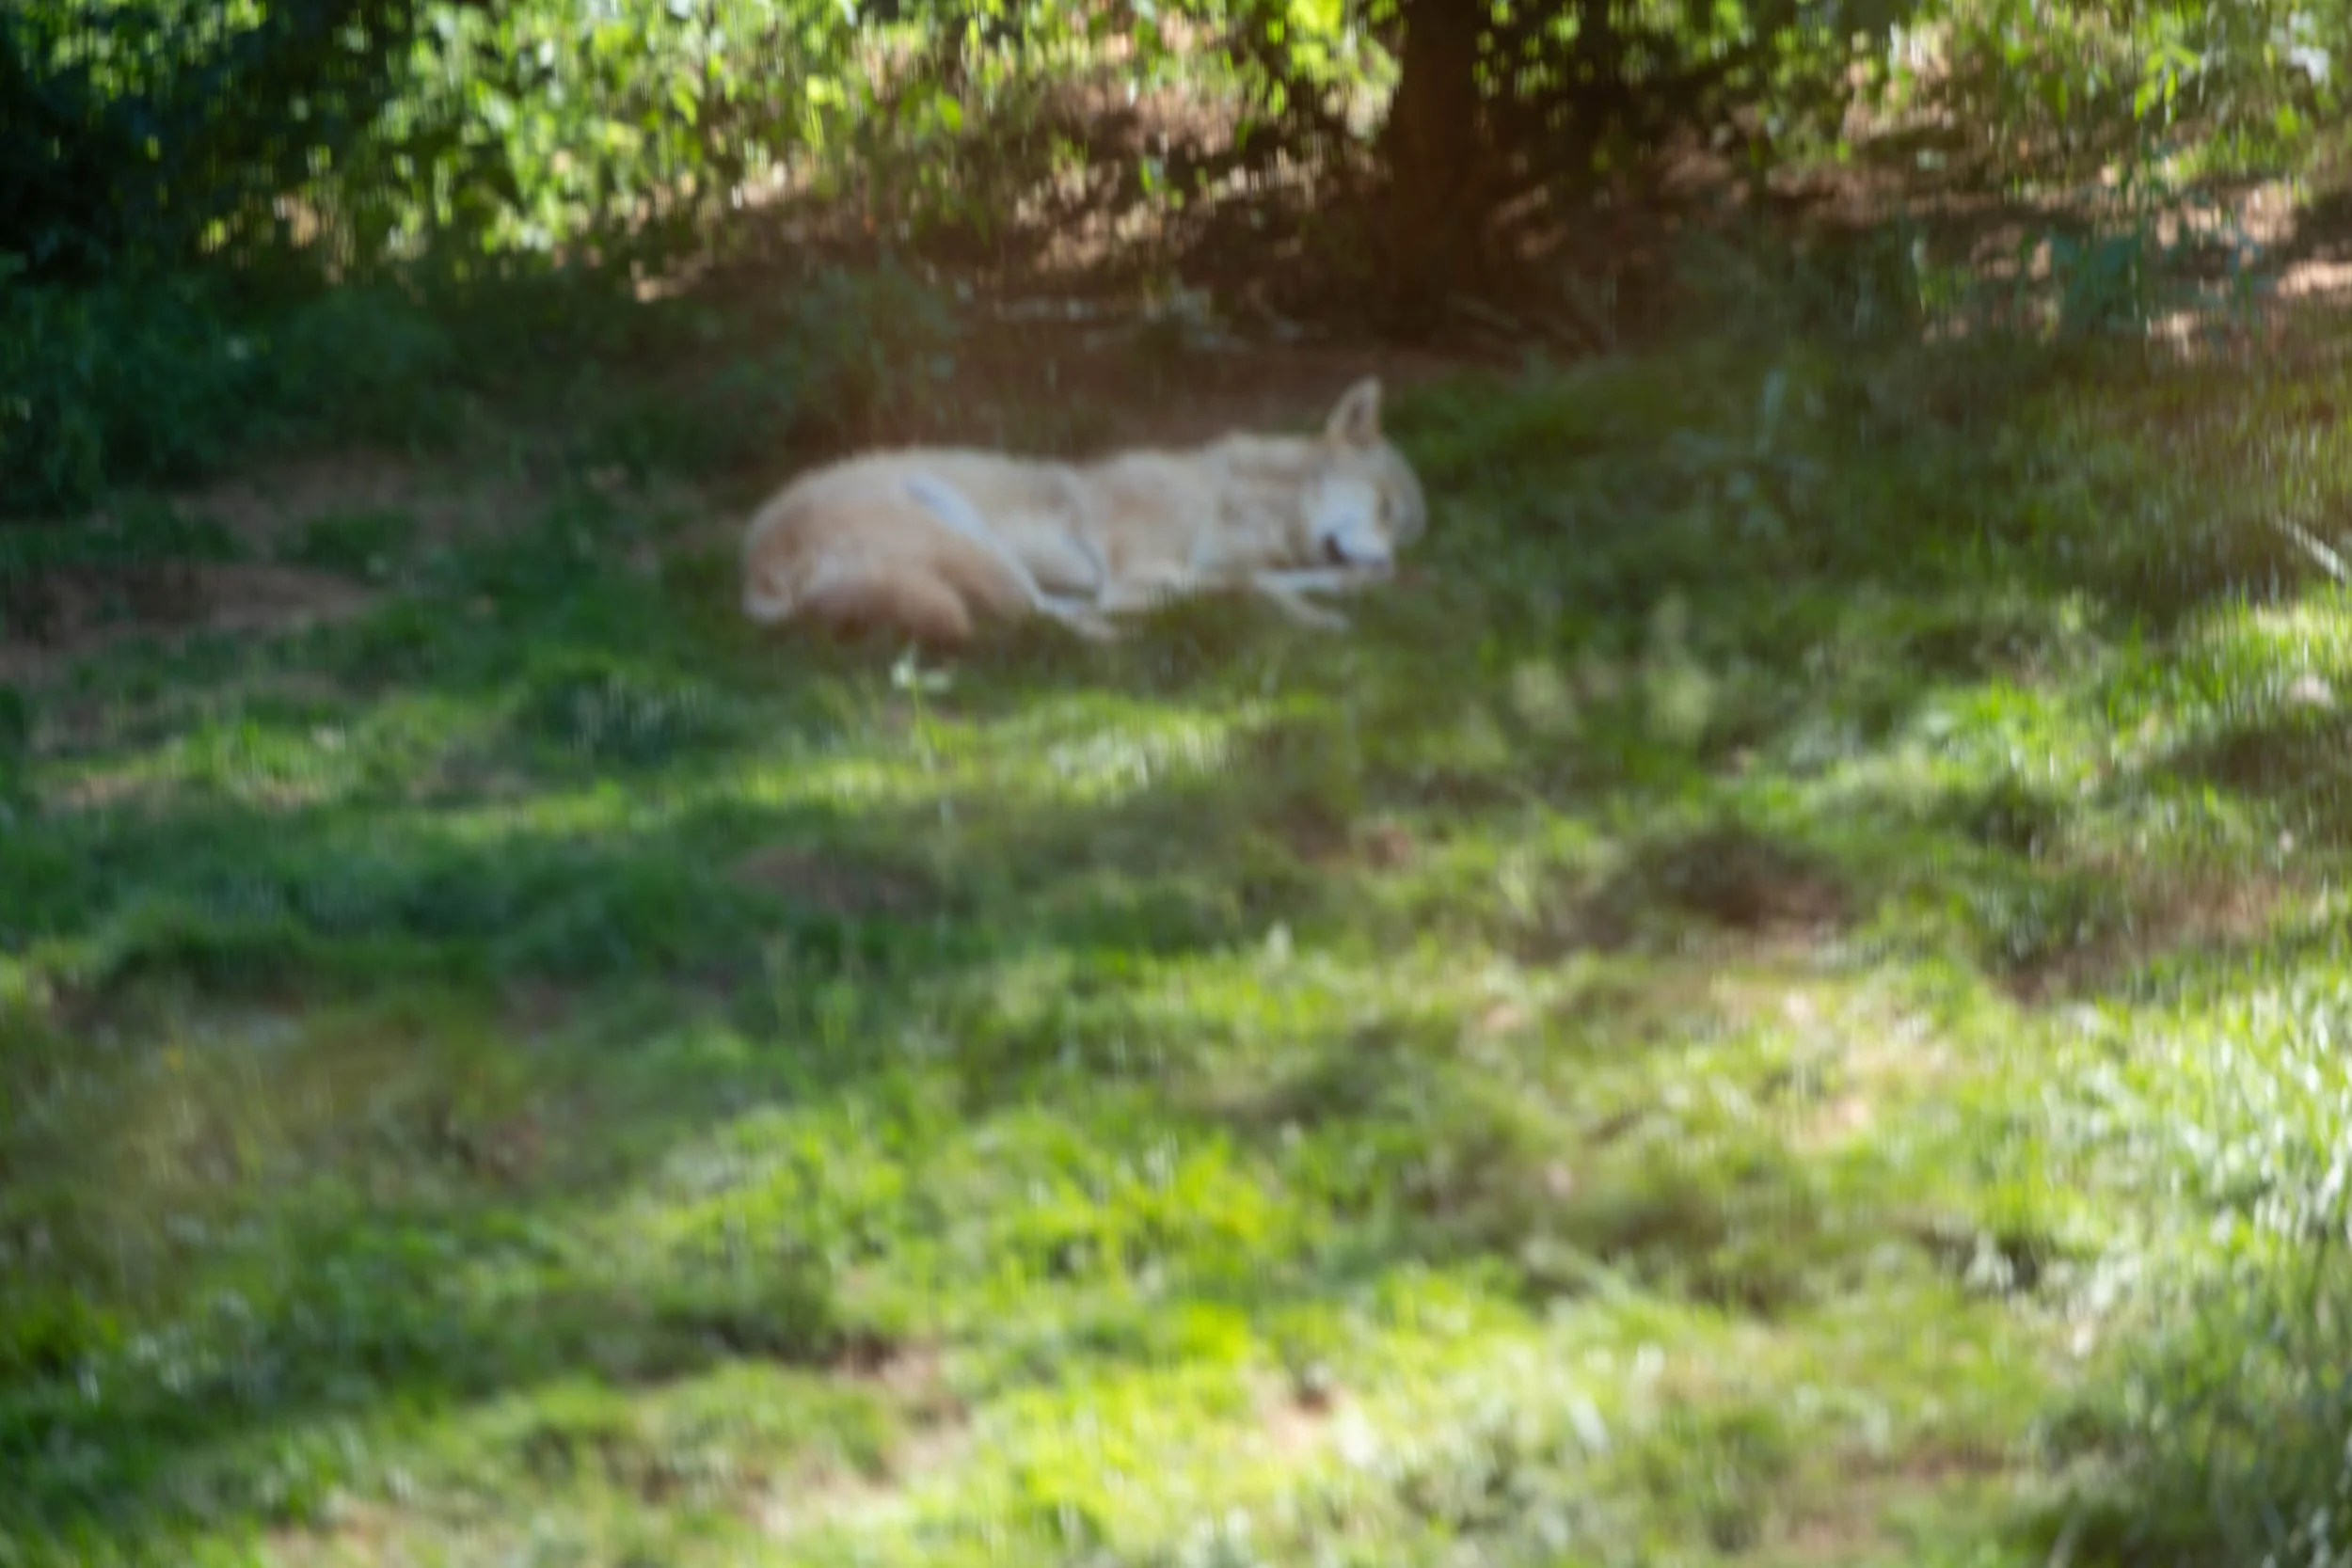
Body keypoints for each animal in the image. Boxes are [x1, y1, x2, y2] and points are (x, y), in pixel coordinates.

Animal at [738, 376, 1427, 646]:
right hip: (962, 532)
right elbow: (1253, 585)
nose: (1391, 562)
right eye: (1385, 508)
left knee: (1043, 610)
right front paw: (1320, 619)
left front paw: (1350, 590)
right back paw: (1120, 637)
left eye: (1405, 529)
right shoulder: (1140, 573)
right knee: (1032, 615)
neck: (1232, 500)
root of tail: (756, 567)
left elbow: (1270, 578)